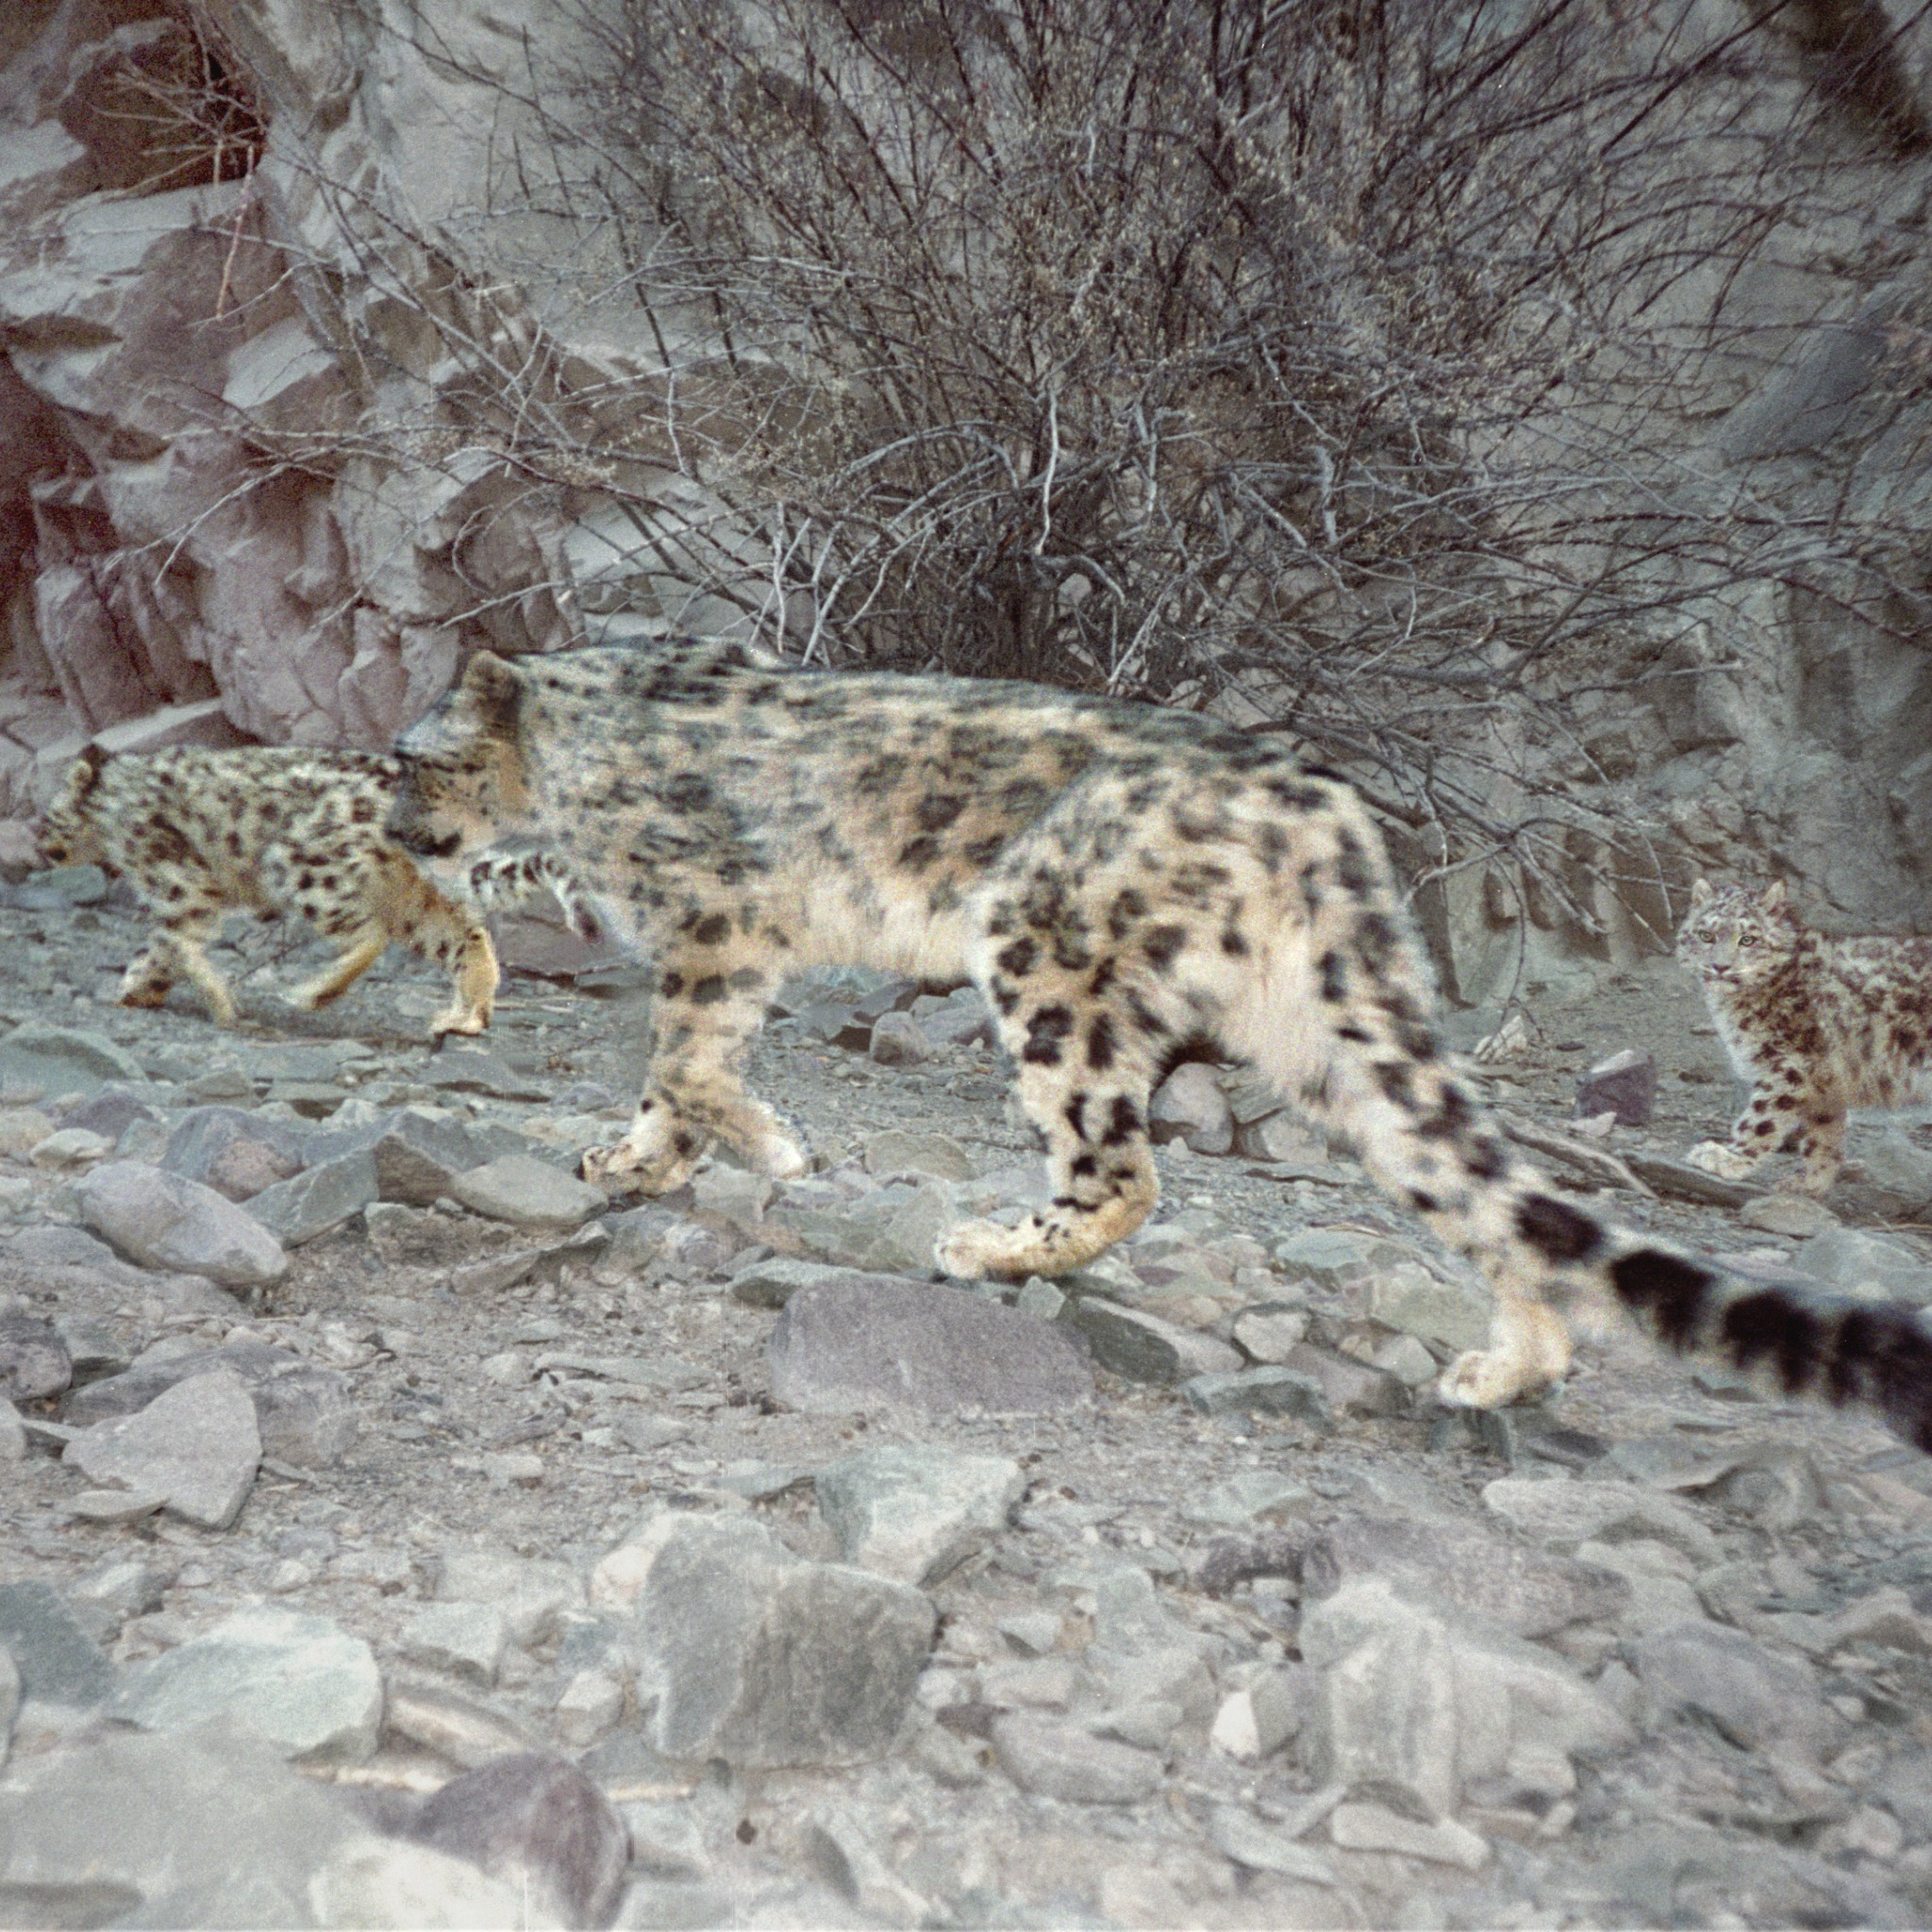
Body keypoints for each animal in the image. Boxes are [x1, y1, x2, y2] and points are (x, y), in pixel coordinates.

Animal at [38, 742, 597, 1039]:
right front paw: (140, 987)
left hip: (302, 864)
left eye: (45, 815)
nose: (38, 845)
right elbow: (163, 945)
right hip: (414, 895)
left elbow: (175, 939)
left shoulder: (173, 878)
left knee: (369, 935)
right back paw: (464, 1017)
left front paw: (215, 1003)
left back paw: (313, 993)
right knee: (466, 939)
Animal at [1676, 877, 1932, 1195]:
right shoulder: (1825, 1083)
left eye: (1748, 939)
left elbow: (1761, 1118)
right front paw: (1809, 1183)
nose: (1720, 967)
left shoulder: (1790, 1064)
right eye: (1706, 935)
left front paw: (1727, 1158)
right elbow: (1822, 1135)